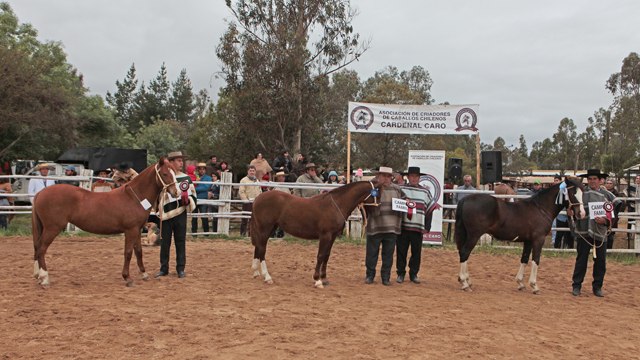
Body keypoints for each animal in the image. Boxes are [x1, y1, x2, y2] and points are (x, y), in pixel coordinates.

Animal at [34, 159, 181, 288]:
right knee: (41, 249)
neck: (134, 197)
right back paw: (45, 279)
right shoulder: (131, 230)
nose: (177, 192)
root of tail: (40, 193)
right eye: (165, 174)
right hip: (52, 228)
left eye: (174, 172)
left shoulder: (138, 230)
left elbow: (138, 251)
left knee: (37, 248)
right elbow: (128, 252)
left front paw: (144, 274)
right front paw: (127, 278)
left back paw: (39, 277)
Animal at [248, 181, 382, 288]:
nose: (378, 214)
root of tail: (257, 198)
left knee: (258, 248)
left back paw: (256, 273)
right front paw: (317, 280)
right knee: (262, 250)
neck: (336, 205)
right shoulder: (325, 236)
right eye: (377, 195)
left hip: (269, 229)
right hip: (265, 229)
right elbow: (320, 256)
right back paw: (267, 277)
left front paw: (324, 278)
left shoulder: (332, 237)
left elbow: (327, 256)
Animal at [456, 177, 584, 296]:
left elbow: (524, 259)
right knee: (464, 253)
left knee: (464, 253)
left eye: (582, 193)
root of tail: (465, 199)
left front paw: (521, 283)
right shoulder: (538, 240)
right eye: (573, 193)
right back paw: (464, 283)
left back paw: (468, 281)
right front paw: (534, 286)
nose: (581, 213)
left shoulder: (528, 241)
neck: (541, 208)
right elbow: (536, 260)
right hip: (474, 235)